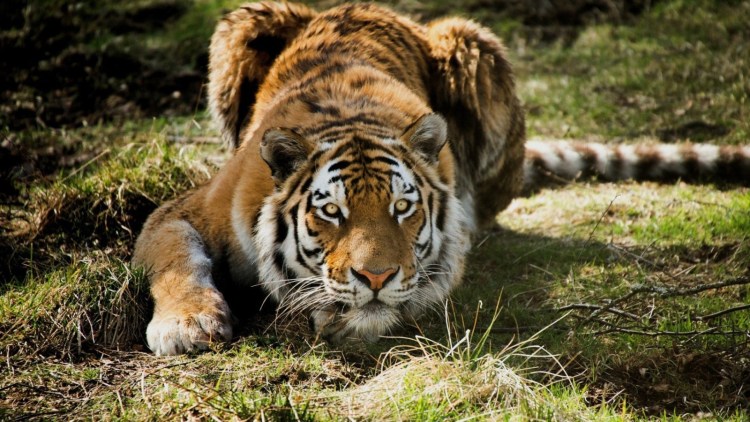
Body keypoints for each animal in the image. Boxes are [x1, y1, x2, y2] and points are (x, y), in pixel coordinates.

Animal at [133, 2, 750, 355]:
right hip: (242, 22)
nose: (376, 277)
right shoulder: (184, 210)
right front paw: (187, 325)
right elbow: (177, 259)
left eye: (402, 209)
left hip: (474, 45)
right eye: (331, 212)